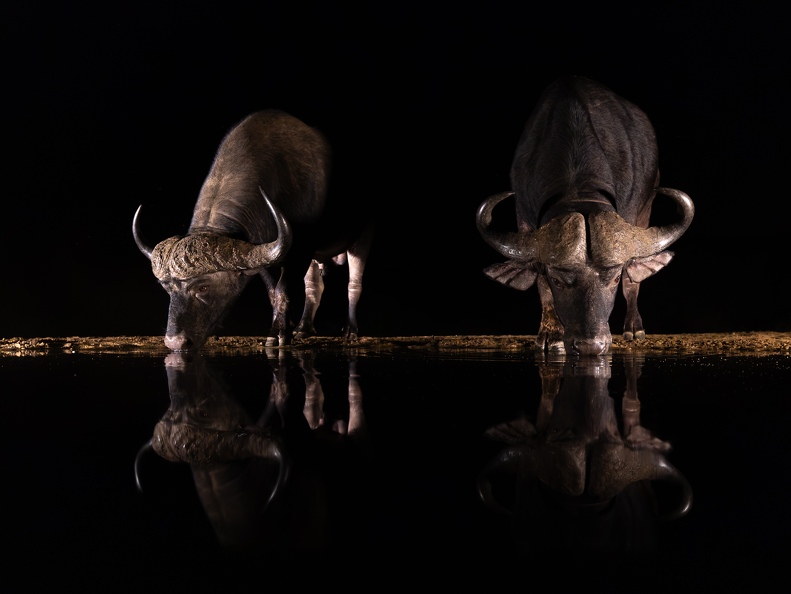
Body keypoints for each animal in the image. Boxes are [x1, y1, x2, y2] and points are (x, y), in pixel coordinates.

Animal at [134, 110, 374, 351]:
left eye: (203, 288)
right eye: (167, 288)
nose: (175, 342)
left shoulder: (301, 251)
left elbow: (283, 291)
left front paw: (279, 335)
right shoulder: (265, 256)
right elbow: (273, 293)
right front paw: (281, 329)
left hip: (362, 239)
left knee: (354, 283)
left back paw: (351, 330)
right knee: (314, 285)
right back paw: (303, 329)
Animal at [476, 76, 694, 355]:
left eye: (614, 278)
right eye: (557, 280)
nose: (591, 346)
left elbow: (630, 277)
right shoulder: (524, 219)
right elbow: (541, 285)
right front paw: (550, 334)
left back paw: (633, 328)